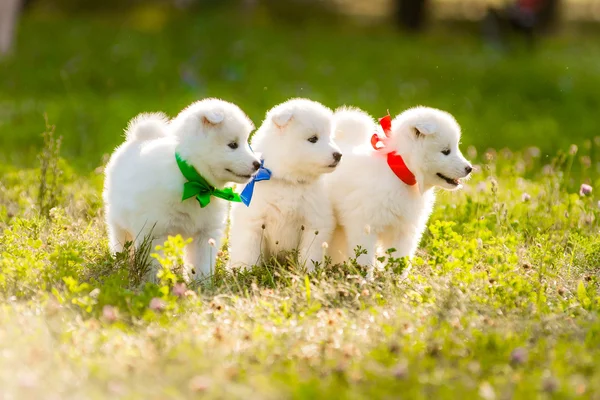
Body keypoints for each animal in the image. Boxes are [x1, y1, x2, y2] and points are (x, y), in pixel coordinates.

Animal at [104, 99, 258, 282]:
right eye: (233, 145)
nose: (258, 164)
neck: (194, 183)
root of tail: (140, 138)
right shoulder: (155, 232)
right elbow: (153, 264)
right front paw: (153, 283)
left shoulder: (205, 233)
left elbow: (201, 263)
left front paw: (201, 284)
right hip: (117, 220)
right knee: (120, 242)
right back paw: (120, 266)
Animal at [229, 98, 342, 270]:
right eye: (313, 139)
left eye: (331, 137)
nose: (339, 155)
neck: (289, 182)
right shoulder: (253, 222)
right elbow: (248, 253)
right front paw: (244, 271)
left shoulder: (315, 223)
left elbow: (310, 254)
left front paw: (308, 272)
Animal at [326, 105, 472, 268]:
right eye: (446, 151)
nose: (469, 168)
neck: (399, 174)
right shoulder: (364, 227)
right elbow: (365, 260)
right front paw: (363, 275)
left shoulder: (404, 231)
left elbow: (399, 260)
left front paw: (395, 275)